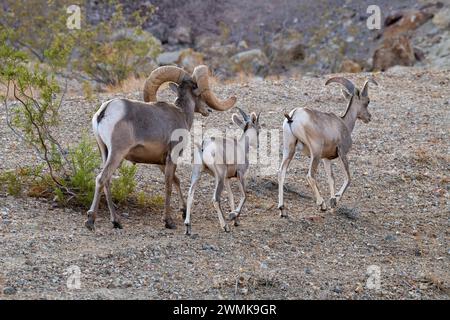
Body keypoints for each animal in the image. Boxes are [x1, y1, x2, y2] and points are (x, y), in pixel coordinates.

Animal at [85, 65, 237, 230]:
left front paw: (184, 211)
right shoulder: (172, 156)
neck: (182, 114)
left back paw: (116, 221)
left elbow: (176, 180)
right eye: (199, 92)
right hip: (117, 153)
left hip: (104, 152)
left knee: (106, 182)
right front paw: (168, 221)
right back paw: (91, 221)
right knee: (101, 179)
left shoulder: (160, 162)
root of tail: (105, 111)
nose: (208, 111)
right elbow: (169, 184)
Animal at [183, 107, 260, 235]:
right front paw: (232, 215)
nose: (258, 145)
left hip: (198, 173)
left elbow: (231, 197)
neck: (240, 147)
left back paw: (188, 226)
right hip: (219, 176)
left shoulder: (227, 178)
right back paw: (225, 226)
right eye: (258, 130)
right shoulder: (241, 175)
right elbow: (244, 195)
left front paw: (236, 221)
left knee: (190, 195)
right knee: (215, 199)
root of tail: (205, 144)